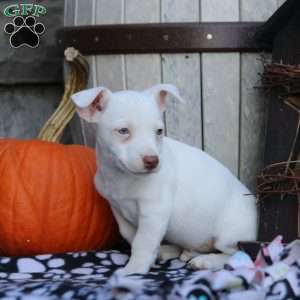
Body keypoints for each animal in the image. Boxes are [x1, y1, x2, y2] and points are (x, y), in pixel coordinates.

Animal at [71, 84, 256, 274]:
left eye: (159, 131)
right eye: (123, 131)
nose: (152, 161)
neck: (122, 177)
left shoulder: (154, 213)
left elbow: (143, 242)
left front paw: (134, 270)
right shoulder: (118, 210)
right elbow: (131, 236)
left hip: (229, 235)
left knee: (238, 254)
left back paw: (206, 261)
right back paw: (174, 251)